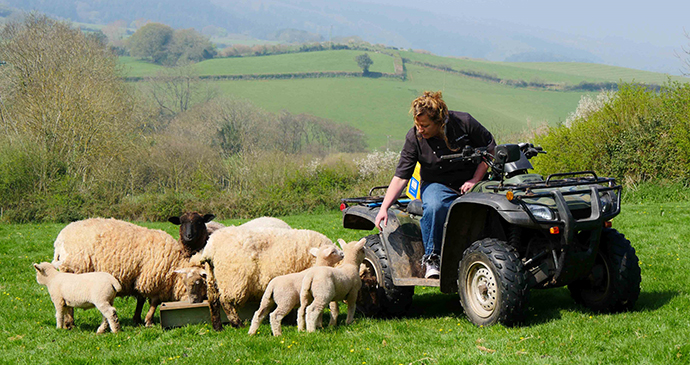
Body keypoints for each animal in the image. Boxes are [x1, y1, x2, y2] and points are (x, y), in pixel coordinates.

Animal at [50, 218, 202, 326]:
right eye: (198, 282)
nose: (199, 301)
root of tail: (59, 240)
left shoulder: (140, 277)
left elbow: (141, 300)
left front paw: (137, 319)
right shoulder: (153, 279)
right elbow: (154, 302)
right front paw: (149, 321)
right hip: (72, 272)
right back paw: (70, 323)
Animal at [196, 225, 336, 328]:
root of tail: (210, 246)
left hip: (213, 276)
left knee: (213, 300)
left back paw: (217, 327)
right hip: (233, 280)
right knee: (225, 302)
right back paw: (237, 324)